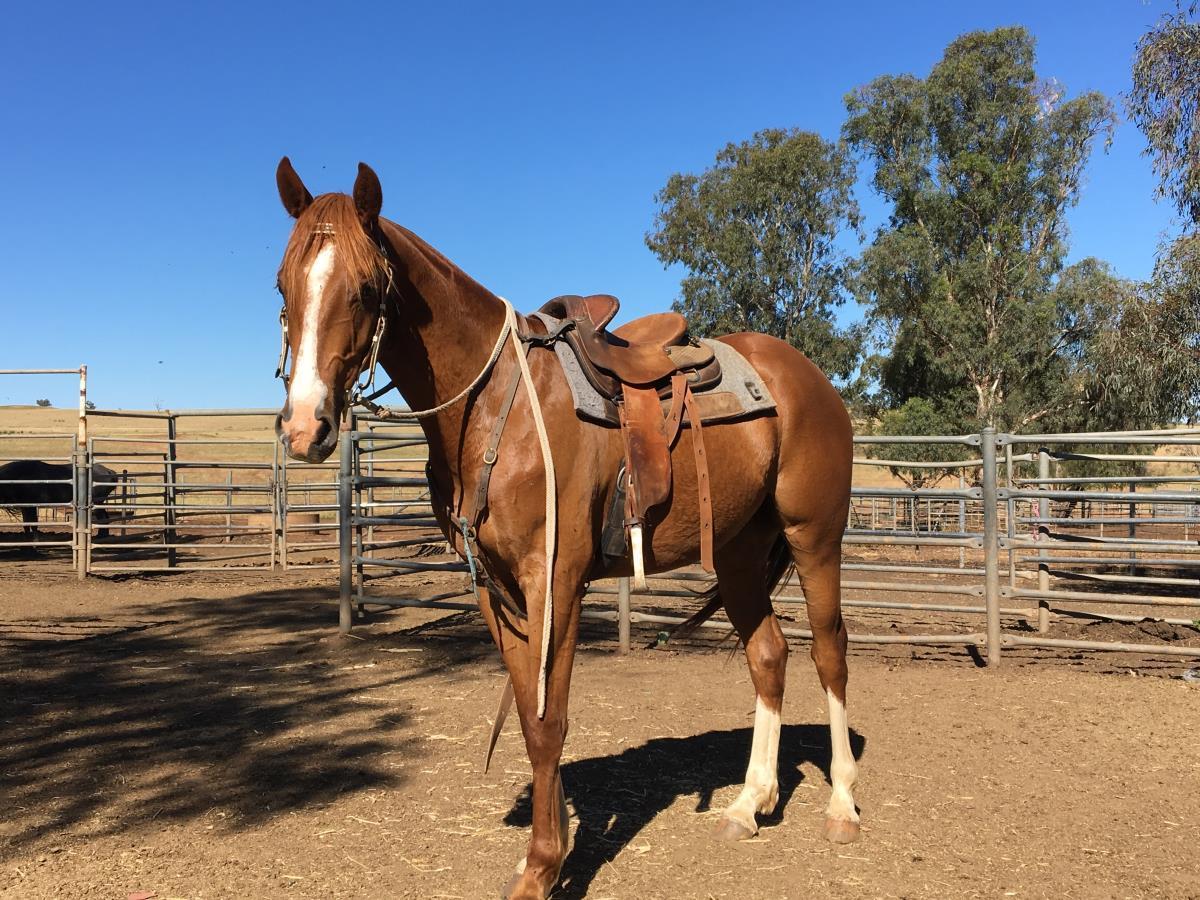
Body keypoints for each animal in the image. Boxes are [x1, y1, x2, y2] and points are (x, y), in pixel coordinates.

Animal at [272, 158, 859, 899]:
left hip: (814, 536)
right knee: (769, 656)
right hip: (737, 550)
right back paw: (749, 805)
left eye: (366, 288)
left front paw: (543, 868)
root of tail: (809, 378)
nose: (305, 428)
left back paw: (842, 806)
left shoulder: (556, 581)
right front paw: (546, 857)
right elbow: (529, 716)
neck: (495, 403)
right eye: (283, 285)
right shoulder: (495, 590)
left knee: (830, 652)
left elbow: (550, 723)